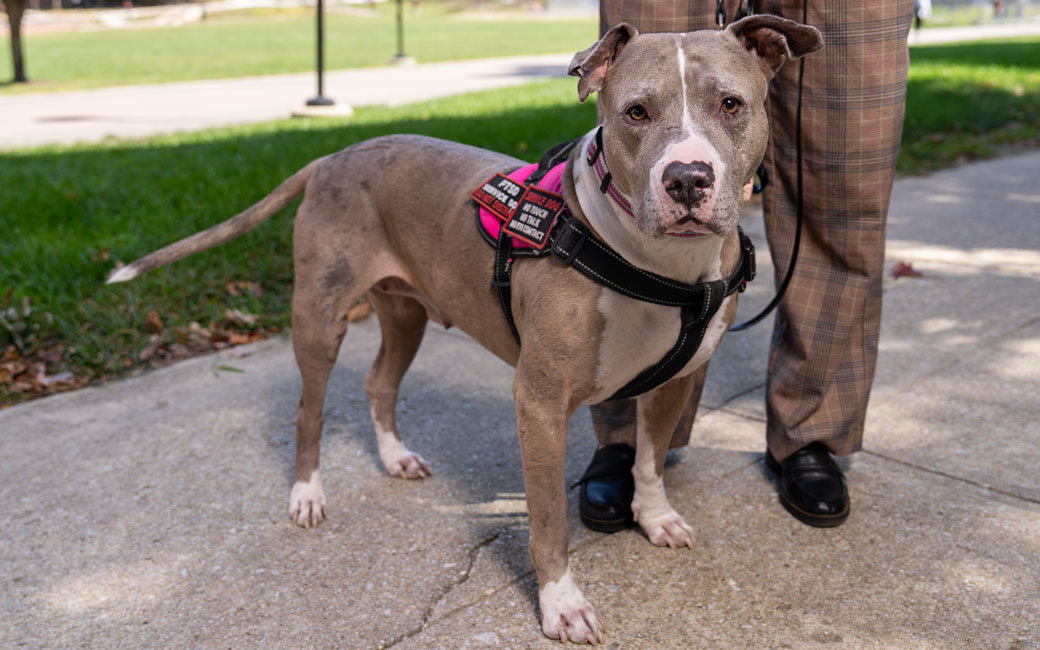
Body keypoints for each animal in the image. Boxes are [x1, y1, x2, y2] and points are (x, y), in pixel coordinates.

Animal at [109, 16, 823, 644]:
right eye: (636, 113)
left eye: (731, 104)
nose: (687, 178)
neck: (652, 261)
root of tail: (332, 155)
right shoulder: (539, 403)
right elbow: (549, 519)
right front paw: (562, 606)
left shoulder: (676, 379)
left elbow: (650, 458)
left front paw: (656, 518)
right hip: (319, 317)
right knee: (310, 408)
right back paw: (307, 495)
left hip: (405, 314)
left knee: (378, 383)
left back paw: (396, 458)